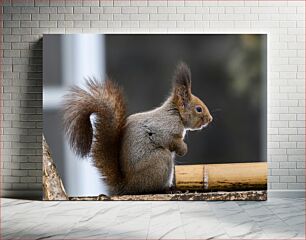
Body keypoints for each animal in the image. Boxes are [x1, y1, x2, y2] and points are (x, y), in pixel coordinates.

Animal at [62, 62, 213, 195]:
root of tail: (128, 186)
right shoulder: (164, 129)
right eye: (198, 109)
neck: (175, 114)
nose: (210, 119)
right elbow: (170, 140)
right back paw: (168, 189)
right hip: (161, 161)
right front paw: (183, 149)